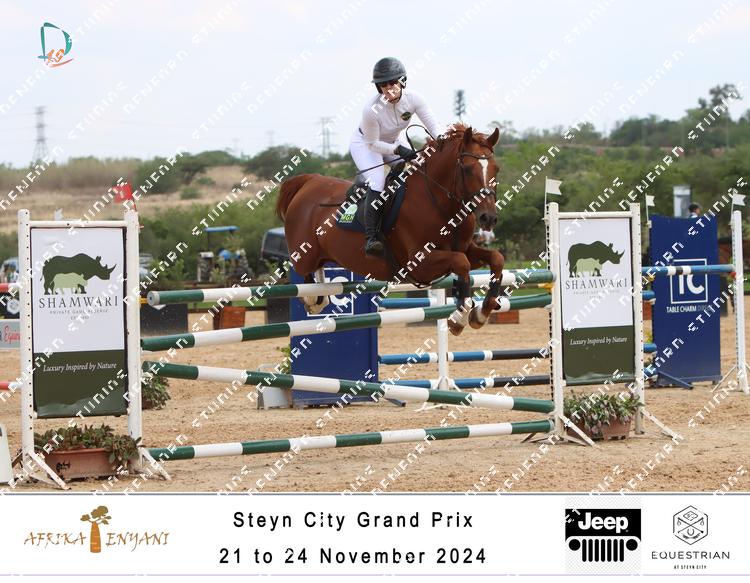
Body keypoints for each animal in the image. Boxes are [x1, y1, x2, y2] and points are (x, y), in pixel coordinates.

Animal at [276, 123, 504, 336]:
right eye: (467, 169)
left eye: (496, 169)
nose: (489, 218)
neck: (439, 203)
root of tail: (308, 182)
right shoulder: (419, 265)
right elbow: (461, 262)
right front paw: (459, 319)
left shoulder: (465, 248)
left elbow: (496, 258)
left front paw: (482, 312)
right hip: (304, 256)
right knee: (305, 275)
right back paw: (314, 300)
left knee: (318, 270)